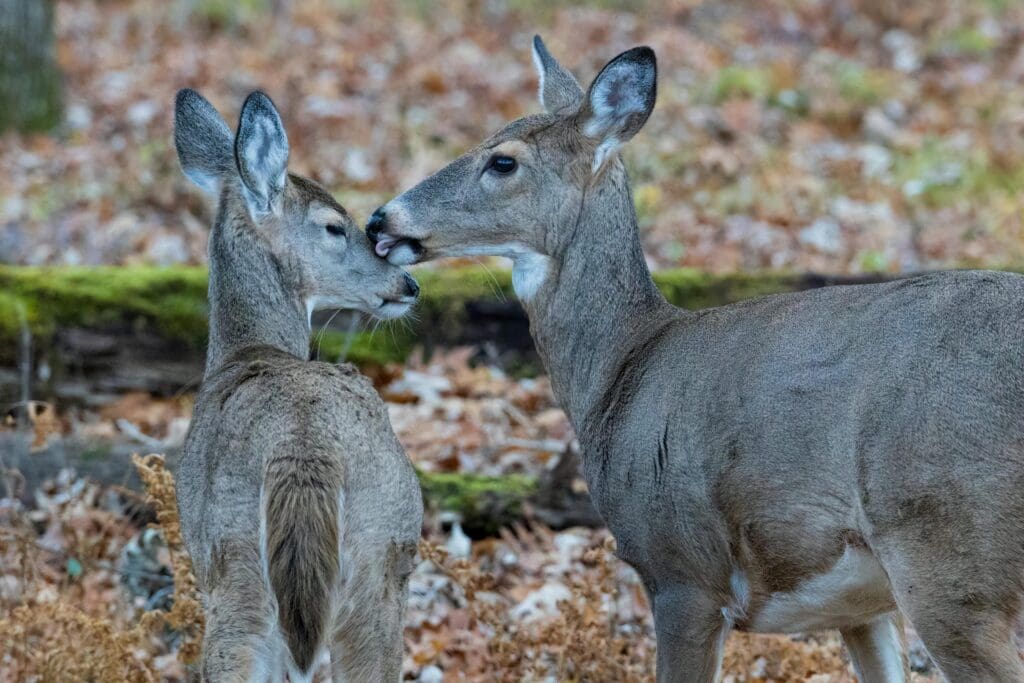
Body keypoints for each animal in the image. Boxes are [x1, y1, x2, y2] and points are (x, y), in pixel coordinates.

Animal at [173, 88, 423, 683]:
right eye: (334, 225)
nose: (408, 283)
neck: (248, 350)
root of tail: (304, 446)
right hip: (378, 552)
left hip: (240, 559)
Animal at [366, 37, 1024, 682]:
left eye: (503, 161)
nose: (379, 219)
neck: (620, 373)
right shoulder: (858, 606)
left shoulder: (681, 570)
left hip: (944, 547)